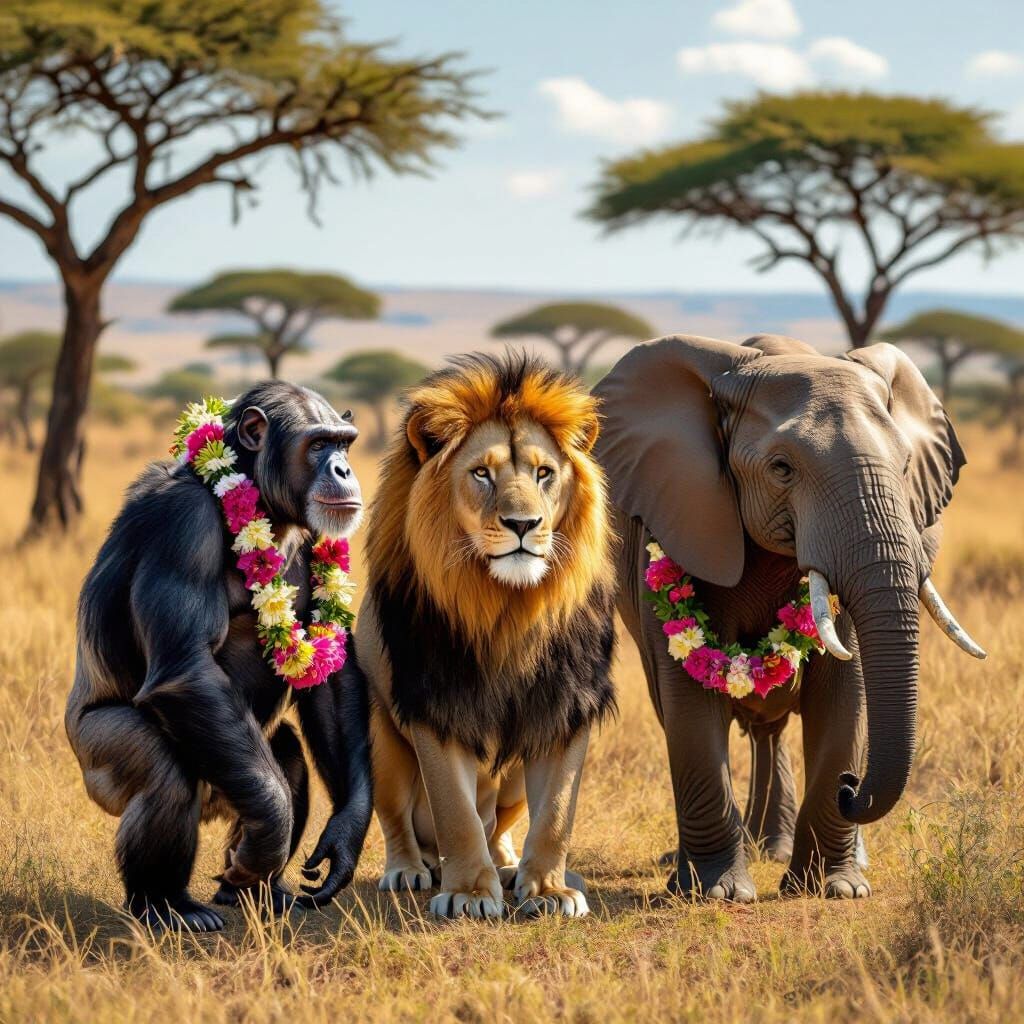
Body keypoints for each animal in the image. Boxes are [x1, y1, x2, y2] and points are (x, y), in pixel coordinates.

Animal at [65, 381, 372, 932]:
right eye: (318, 444)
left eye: (345, 443)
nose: (342, 468)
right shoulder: (181, 525)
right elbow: (187, 668)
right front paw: (267, 841)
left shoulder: (323, 533)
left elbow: (332, 678)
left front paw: (344, 836)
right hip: (96, 763)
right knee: (163, 772)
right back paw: (167, 905)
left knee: (288, 758)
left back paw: (255, 893)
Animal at [357, 352, 616, 918]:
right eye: (481, 473)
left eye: (544, 473)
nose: (524, 524)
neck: (509, 608)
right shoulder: (434, 705)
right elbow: (456, 813)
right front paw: (469, 893)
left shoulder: (565, 706)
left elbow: (556, 814)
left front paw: (549, 889)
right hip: (381, 739)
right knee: (399, 822)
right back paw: (410, 870)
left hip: (513, 774)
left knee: (497, 823)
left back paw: (507, 864)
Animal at [594, 333, 985, 901]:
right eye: (782, 468)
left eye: (906, 465)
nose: (852, 787)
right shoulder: (674, 520)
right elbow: (689, 710)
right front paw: (717, 893)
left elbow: (846, 693)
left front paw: (836, 889)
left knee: (772, 728)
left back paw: (783, 850)